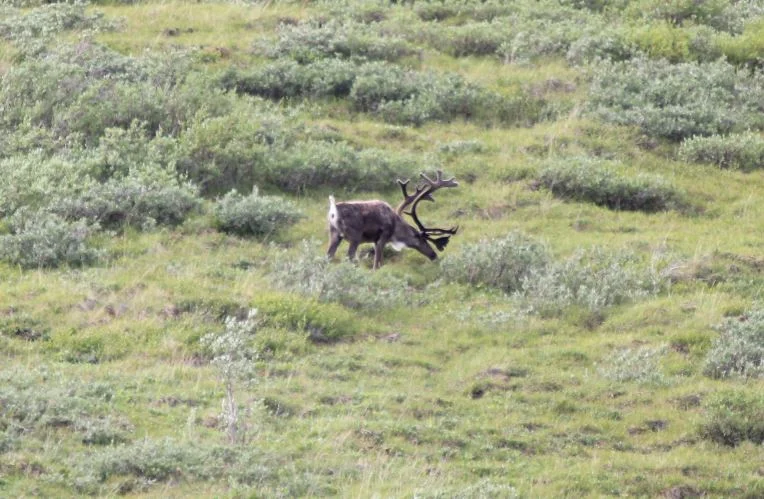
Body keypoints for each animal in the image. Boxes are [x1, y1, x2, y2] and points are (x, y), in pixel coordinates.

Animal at [327, 170, 459, 269]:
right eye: (421, 239)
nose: (434, 255)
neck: (396, 227)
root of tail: (334, 210)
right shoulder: (383, 236)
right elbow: (377, 263)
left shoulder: (375, 240)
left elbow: (380, 261)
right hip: (355, 236)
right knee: (349, 256)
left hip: (334, 234)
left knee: (328, 255)